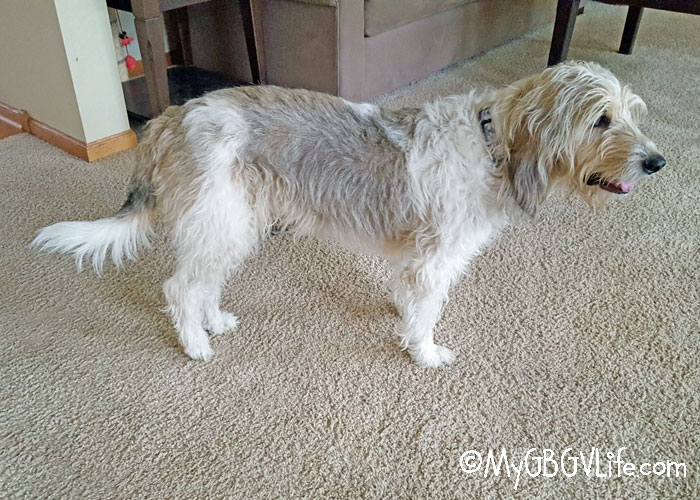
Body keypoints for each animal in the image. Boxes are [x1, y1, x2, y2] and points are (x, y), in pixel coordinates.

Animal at [31, 62, 666, 368]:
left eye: (631, 114)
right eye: (601, 120)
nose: (657, 162)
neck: (490, 144)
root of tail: (173, 114)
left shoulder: (414, 257)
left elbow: (408, 298)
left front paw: (404, 322)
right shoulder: (436, 261)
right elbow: (427, 314)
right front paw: (425, 354)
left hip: (233, 226)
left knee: (202, 284)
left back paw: (215, 323)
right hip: (220, 224)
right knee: (178, 287)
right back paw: (195, 346)